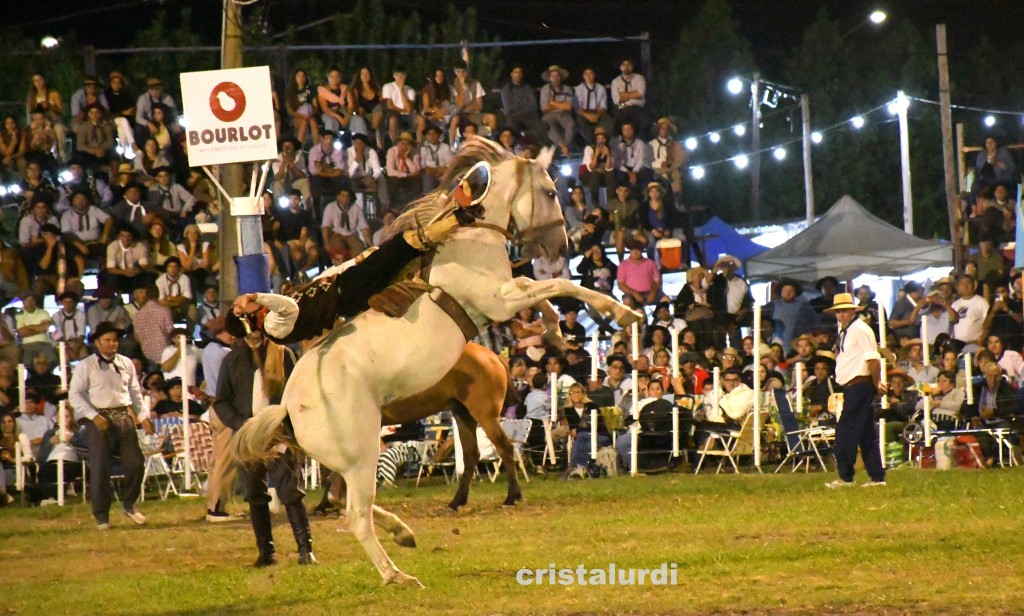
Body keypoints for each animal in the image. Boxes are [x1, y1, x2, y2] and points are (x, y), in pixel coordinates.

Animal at [311, 339, 520, 513]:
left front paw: (330, 502)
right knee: (471, 455)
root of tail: (492, 355)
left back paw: (512, 497)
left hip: (485, 415)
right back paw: (456, 502)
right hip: (463, 414)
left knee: (504, 447)